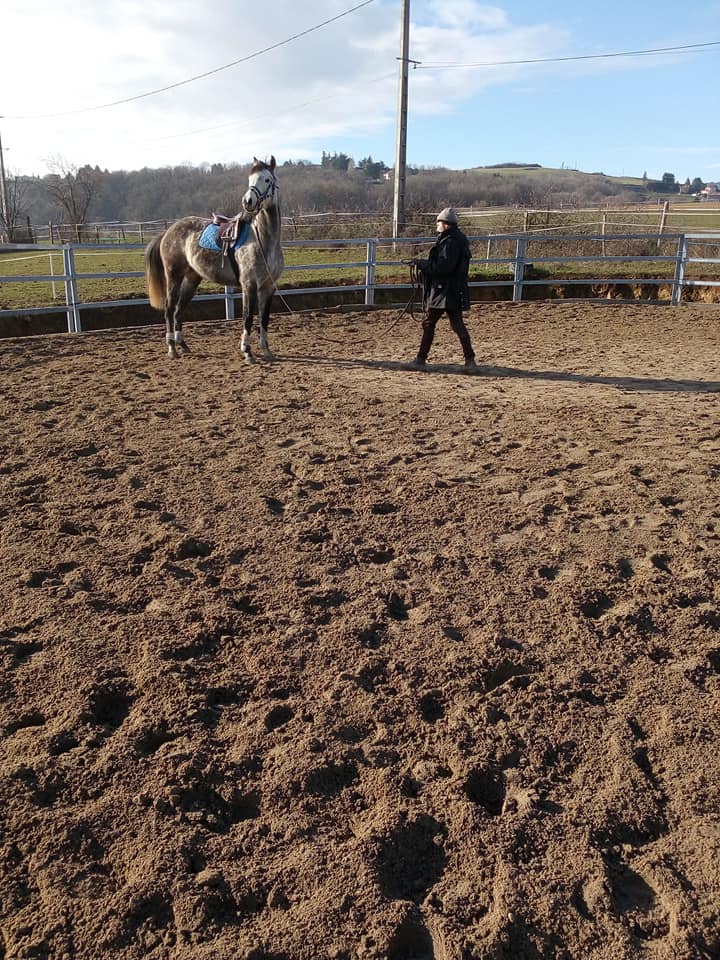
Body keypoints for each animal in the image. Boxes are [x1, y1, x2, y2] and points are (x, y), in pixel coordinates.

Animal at [145, 158, 282, 360]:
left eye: (267, 179)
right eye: (250, 178)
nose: (248, 201)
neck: (264, 241)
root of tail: (168, 230)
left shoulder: (268, 287)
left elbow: (264, 318)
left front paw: (266, 350)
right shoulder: (249, 285)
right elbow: (248, 317)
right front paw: (247, 351)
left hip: (192, 278)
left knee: (179, 310)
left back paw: (183, 345)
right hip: (174, 275)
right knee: (169, 308)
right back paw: (172, 348)